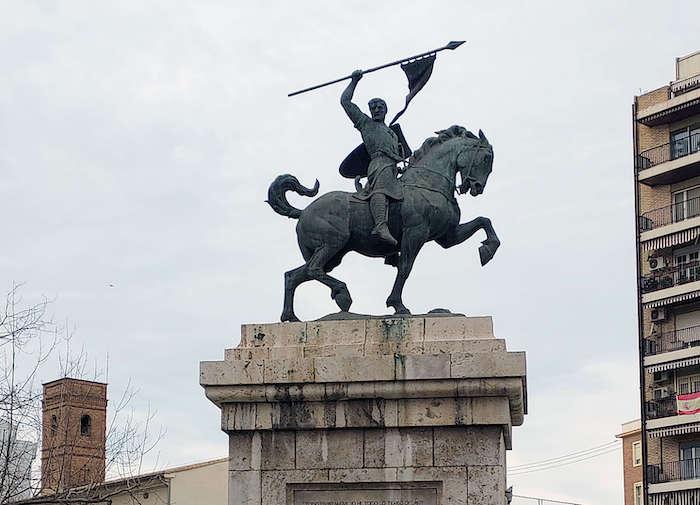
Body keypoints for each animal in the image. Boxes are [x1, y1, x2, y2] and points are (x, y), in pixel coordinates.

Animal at [266, 126, 500, 322]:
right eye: (486, 158)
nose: (477, 187)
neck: (427, 184)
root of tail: (303, 211)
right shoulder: (416, 233)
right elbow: (405, 267)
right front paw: (398, 305)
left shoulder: (447, 237)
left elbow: (484, 221)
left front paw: (487, 250)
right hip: (332, 244)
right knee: (313, 269)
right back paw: (343, 294)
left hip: (333, 255)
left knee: (294, 275)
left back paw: (291, 318)